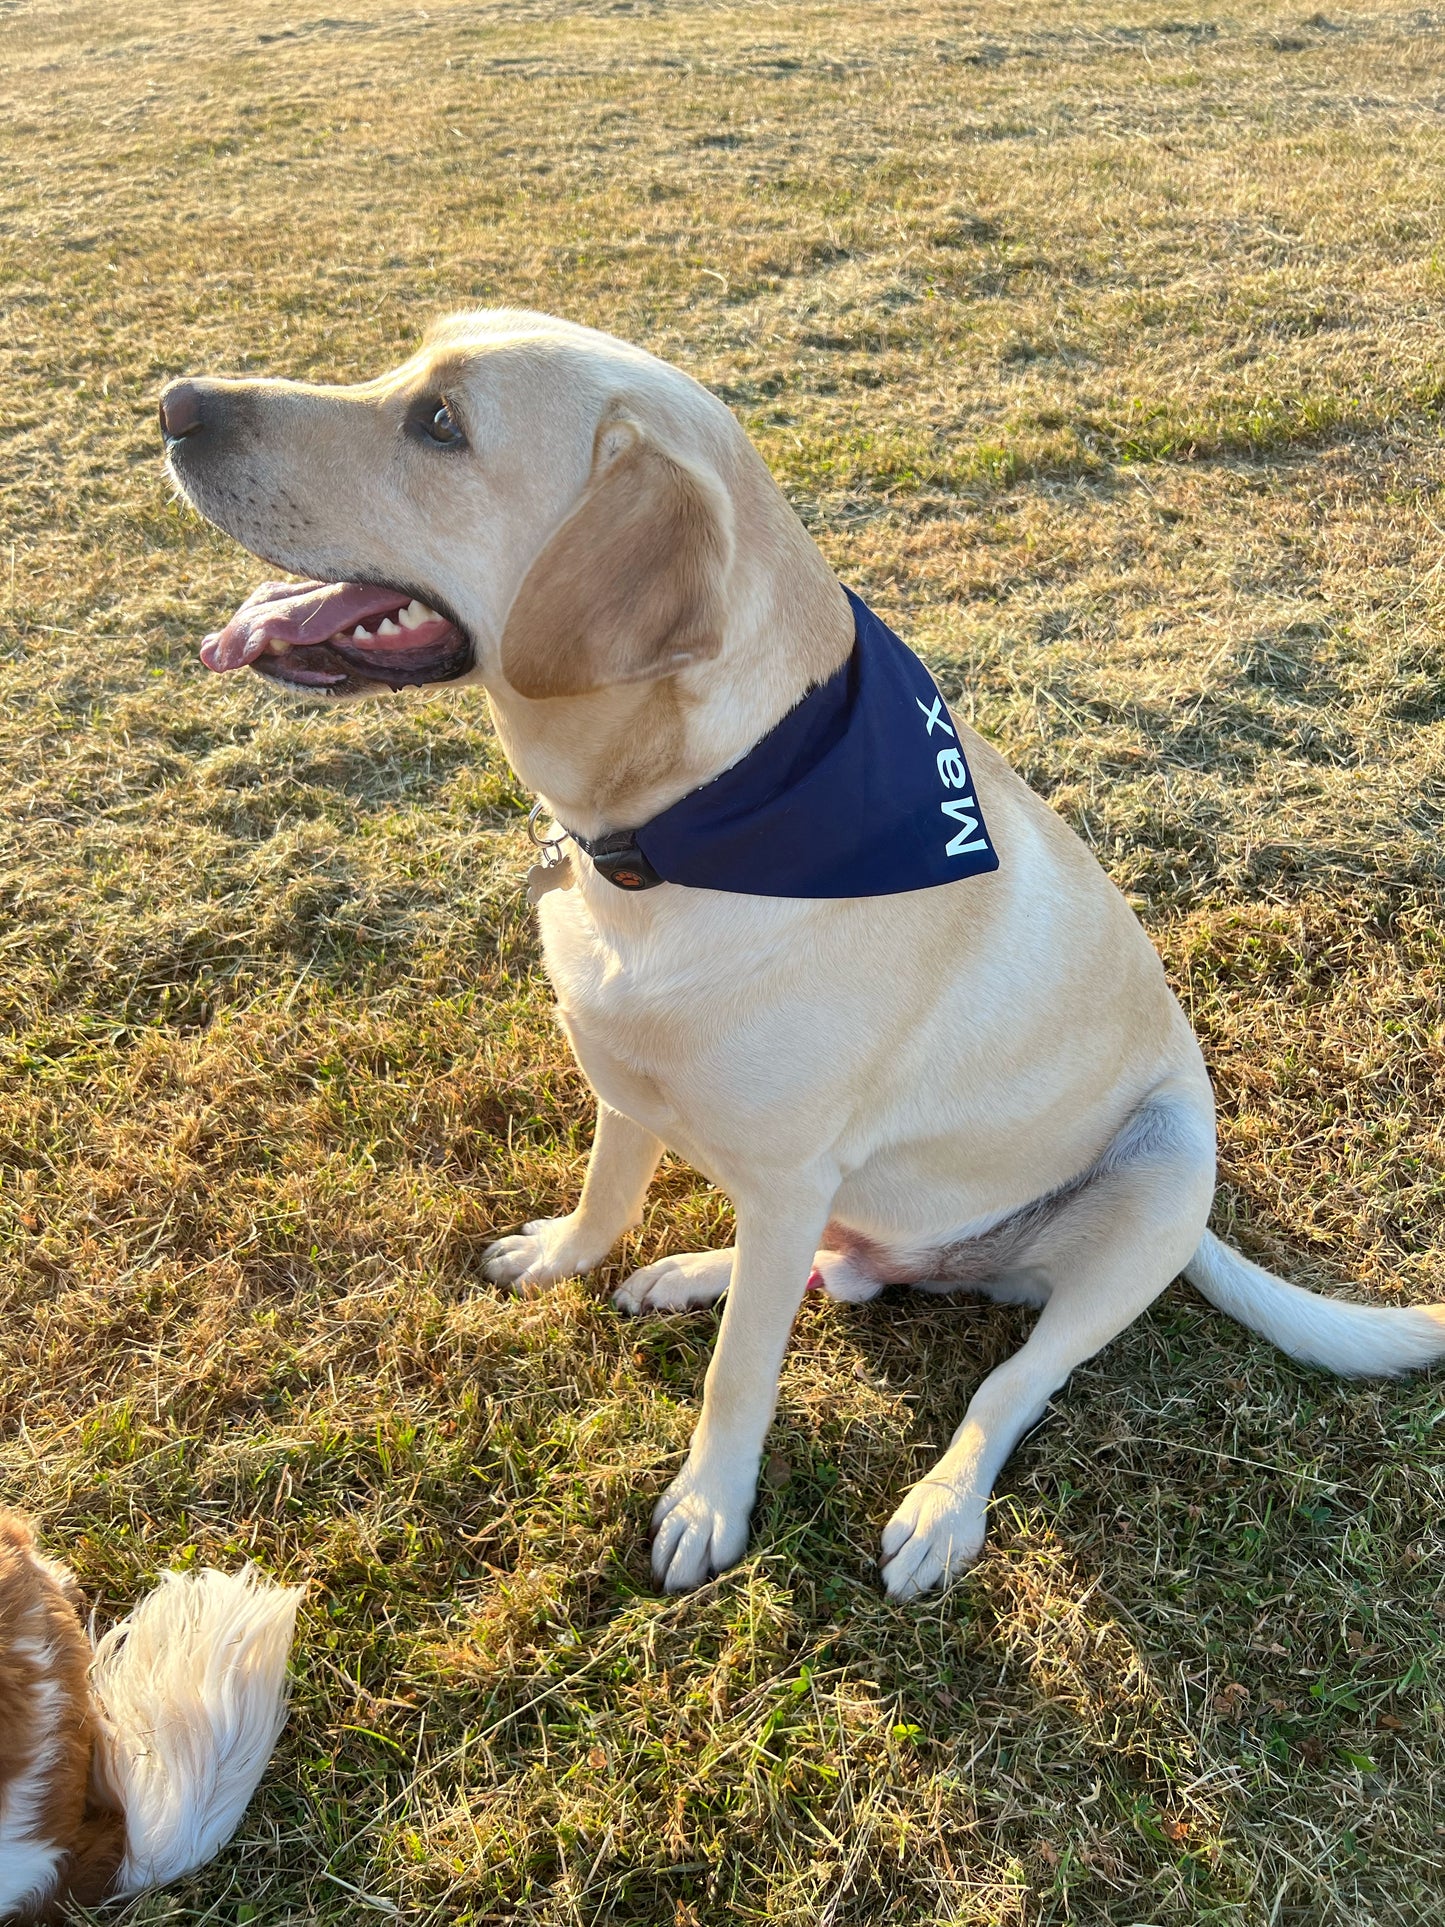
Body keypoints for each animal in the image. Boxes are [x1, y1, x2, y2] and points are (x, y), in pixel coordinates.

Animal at [157, 316, 1445, 1603]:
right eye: (405, 359)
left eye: (439, 425)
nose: (173, 404)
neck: (680, 829)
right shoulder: (626, 1083)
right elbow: (605, 1193)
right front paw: (569, 1256)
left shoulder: (785, 1174)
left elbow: (742, 1373)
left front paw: (706, 1504)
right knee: (839, 1269)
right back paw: (693, 1270)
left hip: (1158, 1172)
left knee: (1008, 1382)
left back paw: (939, 1505)